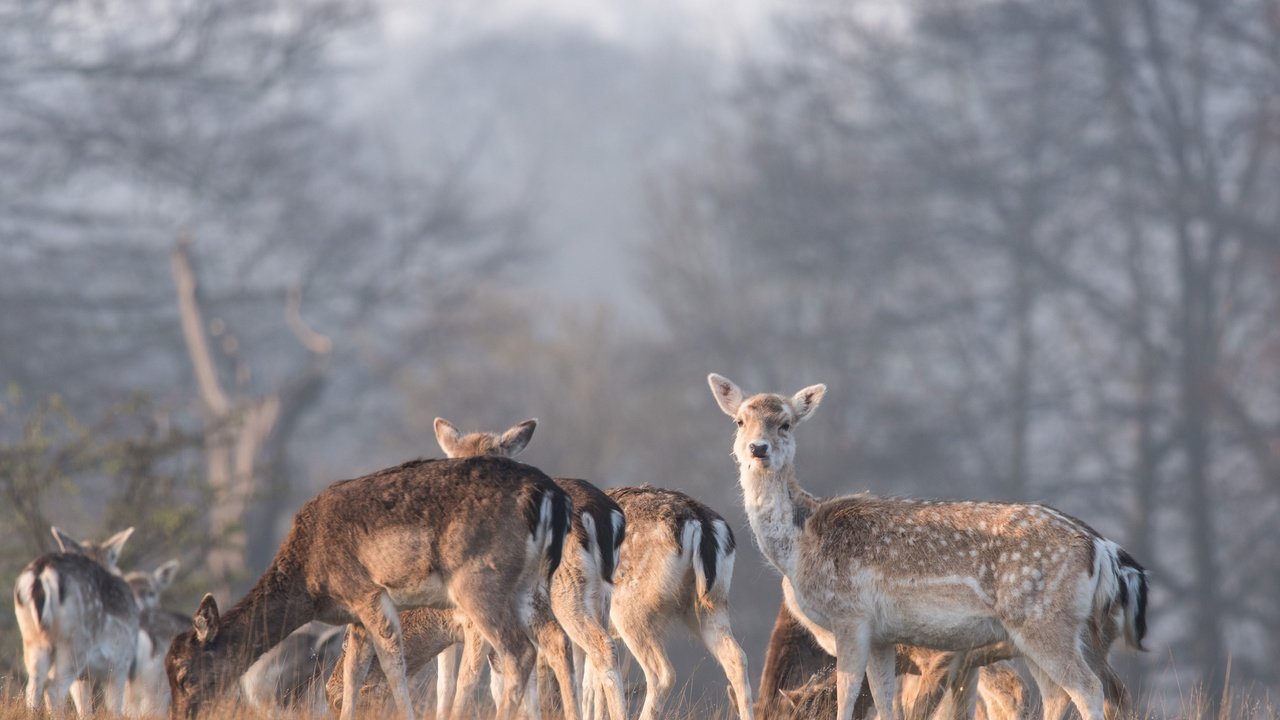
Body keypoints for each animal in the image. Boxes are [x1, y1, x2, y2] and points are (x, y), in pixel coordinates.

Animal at [12, 525, 140, 712]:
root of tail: (42, 573)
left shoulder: (84, 678)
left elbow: (85, 710)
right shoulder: (120, 664)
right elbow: (114, 710)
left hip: (32, 640)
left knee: (33, 688)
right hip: (74, 642)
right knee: (54, 689)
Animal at [163, 453, 570, 717]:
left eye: (183, 673)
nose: (181, 715)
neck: (310, 583)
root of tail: (550, 496)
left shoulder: (367, 594)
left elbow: (391, 665)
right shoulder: (354, 616)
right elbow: (353, 672)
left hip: (481, 584)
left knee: (518, 651)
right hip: (531, 586)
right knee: (557, 639)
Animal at [711, 371, 1152, 717]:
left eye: (785, 423)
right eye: (740, 421)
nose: (758, 449)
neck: (801, 544)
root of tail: (1101, 548)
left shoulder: (850, 615)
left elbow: (848, 698)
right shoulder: (883, 635)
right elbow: (885, 702)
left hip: (1045, 621)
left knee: (1089, 689)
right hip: (1052, 632)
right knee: (1060, 695)